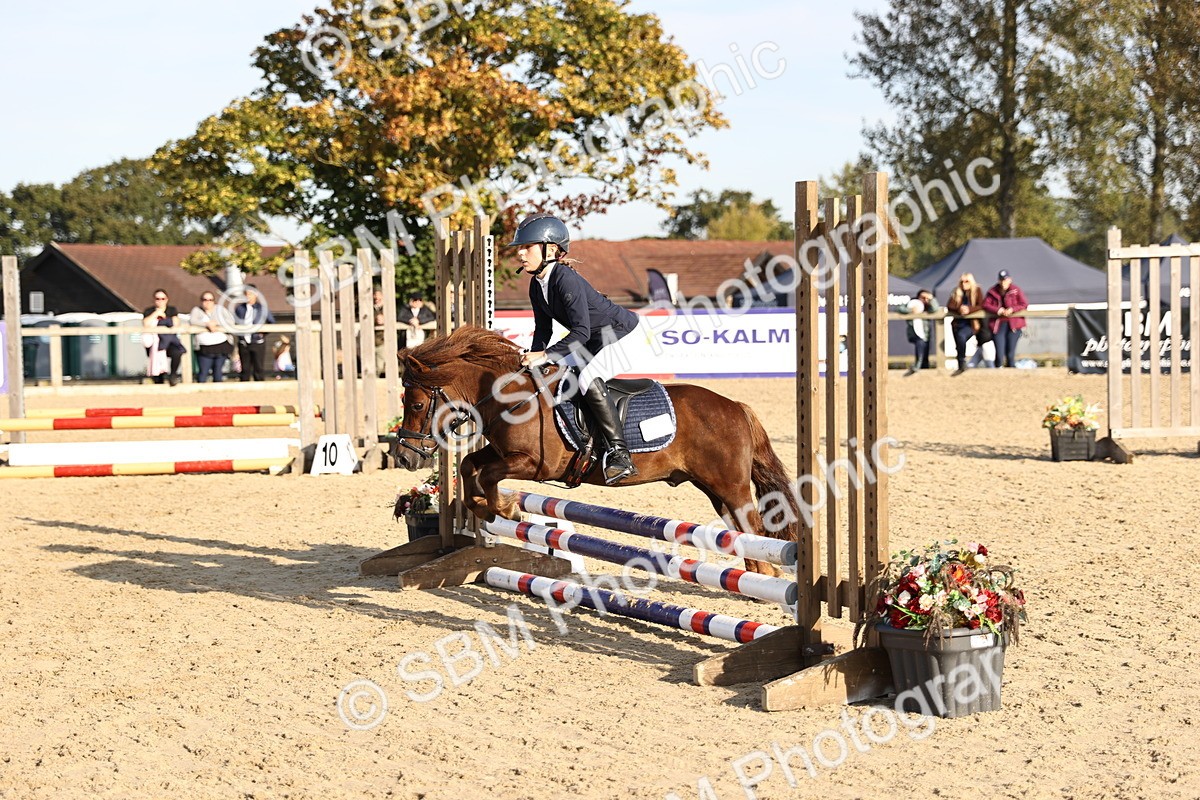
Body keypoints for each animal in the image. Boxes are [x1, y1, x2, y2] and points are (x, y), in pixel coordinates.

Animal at [391, 326, 799, 575]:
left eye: (416, 404)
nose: (406, 457)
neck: (509, 394)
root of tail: (736, 407)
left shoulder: (534, 464)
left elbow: (489, 475)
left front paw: (505, 508)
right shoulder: (503, 454)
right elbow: (470, 466)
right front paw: (484, 507)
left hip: (730, 485)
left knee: (754, 527)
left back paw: (764, 579)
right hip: (715, 489)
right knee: (741, 531)